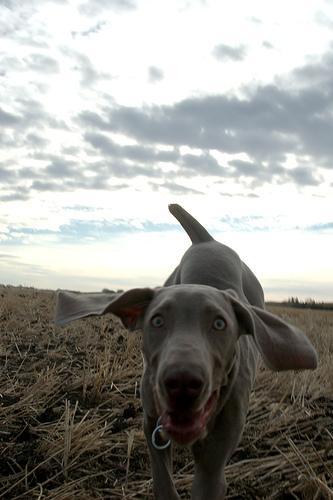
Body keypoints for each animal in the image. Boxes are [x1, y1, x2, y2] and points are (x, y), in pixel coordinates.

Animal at [55, 204, 316, 500]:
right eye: (157, 320)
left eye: (220, 324)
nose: (182, 382)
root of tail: (207, 241)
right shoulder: (152, 426)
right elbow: (163, 483)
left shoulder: (212, 466)